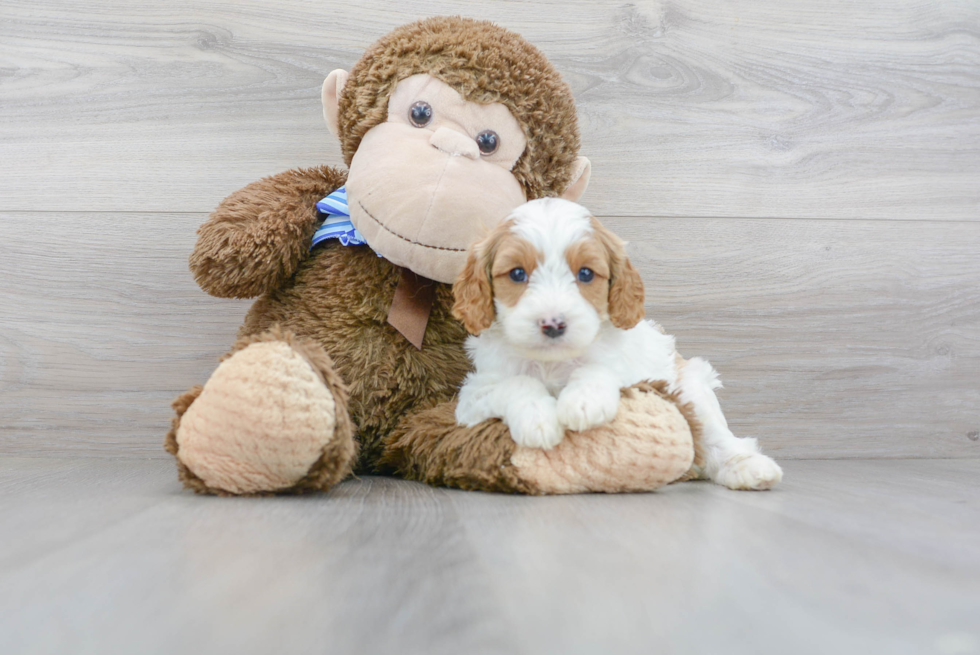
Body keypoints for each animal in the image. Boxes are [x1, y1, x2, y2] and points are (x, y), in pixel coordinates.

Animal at [450, 197, 780, 490]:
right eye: (517, 273)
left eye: (585, 273)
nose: (553, 324)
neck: (553, 362)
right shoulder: (474, 395)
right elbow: (515, 383)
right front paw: (538, 420)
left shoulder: (637, 375)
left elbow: (600, 369)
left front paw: (583, 401)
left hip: (691, 389)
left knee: (719, 437)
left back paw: (748, 467)